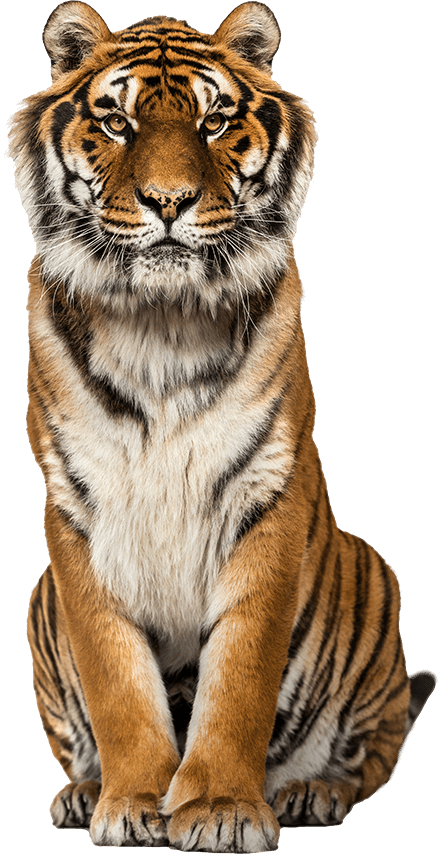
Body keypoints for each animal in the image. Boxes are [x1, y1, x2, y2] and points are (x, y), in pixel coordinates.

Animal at [8, 1, 435, 849]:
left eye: (215, 122)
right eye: (115, 120)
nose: (168, 202)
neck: (161, 327)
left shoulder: (266, 491)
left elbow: (240, 674)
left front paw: (220, 809)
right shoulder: (75, 508)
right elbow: (116, 678)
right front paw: (135, 801)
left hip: (376, 586)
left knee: (375, 754)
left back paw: (312, 795)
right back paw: (82, 792)